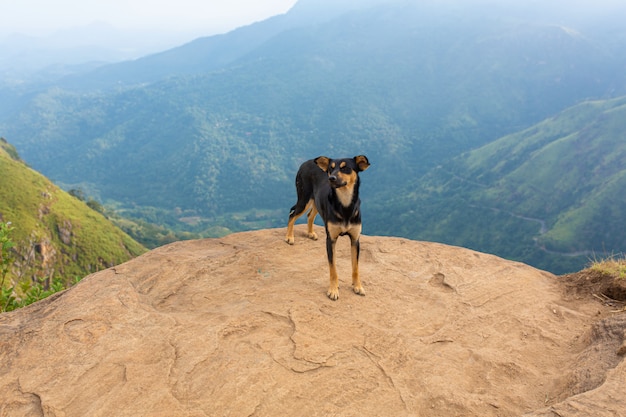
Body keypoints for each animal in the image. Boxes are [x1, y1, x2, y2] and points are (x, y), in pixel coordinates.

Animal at [286, 154, 368, 300]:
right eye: (331, 169)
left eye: (345, 168)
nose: (331, 178)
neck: (345, 205)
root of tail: (306, 162)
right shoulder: (331, 240)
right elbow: (333, 268)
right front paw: (333, 290)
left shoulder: (355, 240)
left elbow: (356, 267)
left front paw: (357, 286)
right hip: (304, 198)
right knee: (292, 214)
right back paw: (290, 237)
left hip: (316, 201)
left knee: (309, 215)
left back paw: (310, 233)